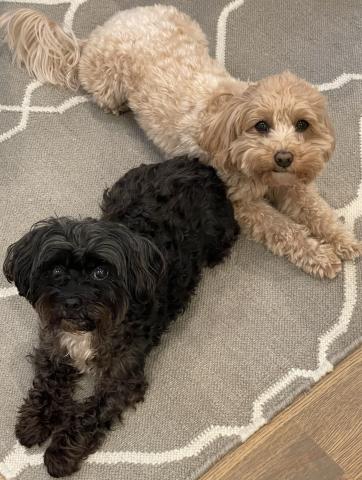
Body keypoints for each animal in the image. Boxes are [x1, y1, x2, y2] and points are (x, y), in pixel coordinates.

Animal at [1, 4, 360, 278]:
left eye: (303, 124)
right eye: (261, 125)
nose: (284, 157)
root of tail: (96, 34)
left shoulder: (290, 184)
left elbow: (316, 209)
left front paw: (342, 239)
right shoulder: (242, 204)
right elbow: (284, 229)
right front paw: (320, 255)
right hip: (109, 83)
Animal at [4, 158, 240, 476]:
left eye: (100, 272)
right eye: (56, 270)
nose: (72, 302)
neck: (88, 330)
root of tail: (197, 163)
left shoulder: (122, 378)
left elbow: (90, 413)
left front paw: (61, 454)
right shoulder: (54, 346)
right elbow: (47, 384)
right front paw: (34, 422)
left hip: (220, 234)